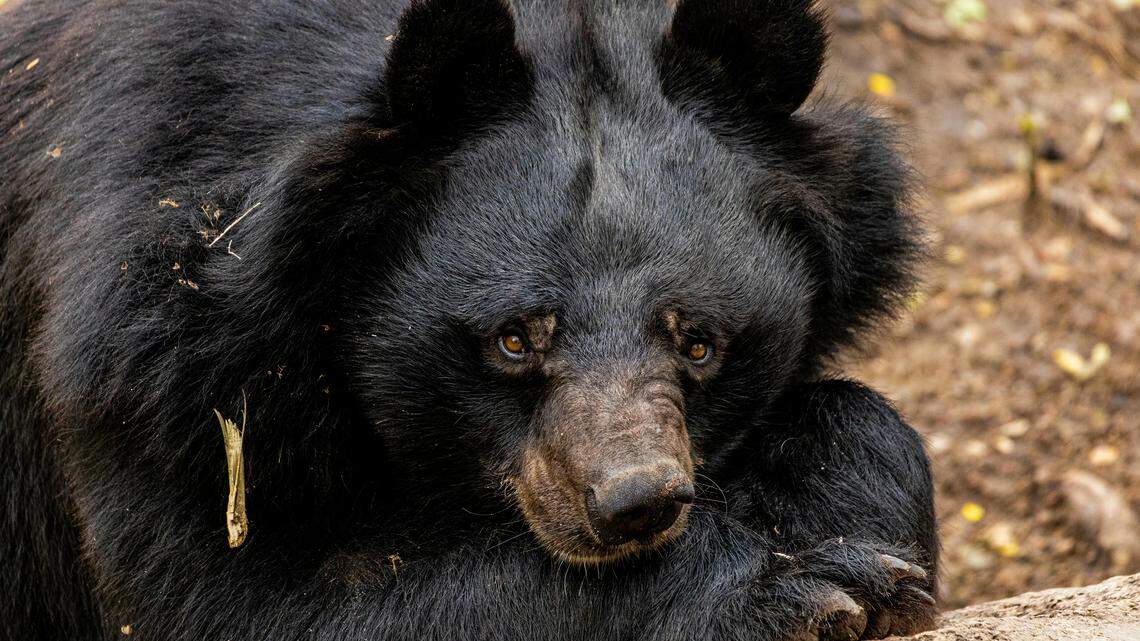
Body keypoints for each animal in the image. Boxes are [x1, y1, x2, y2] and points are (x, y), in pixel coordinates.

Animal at [0, 0, 937, 639]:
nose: (635, 504)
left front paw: (865, 536)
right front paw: (804, 588)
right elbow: (232, 603)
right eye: (513, 338)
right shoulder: (151, 364)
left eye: (699, 341)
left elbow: (861, 423)